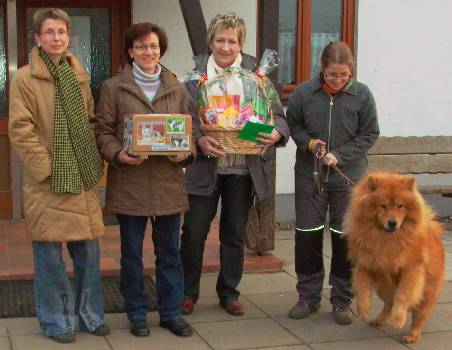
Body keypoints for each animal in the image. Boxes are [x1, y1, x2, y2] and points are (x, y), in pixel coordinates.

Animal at [346, 172, 444, 342]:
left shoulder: (411, 269)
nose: (392, 222)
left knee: (418, 316)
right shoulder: (366, 264)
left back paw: (412, 335)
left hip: (426, 293)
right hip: (384, 288)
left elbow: (402, 295)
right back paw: (378, 320)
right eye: (383, 205)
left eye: (400, 205)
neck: (387, 240)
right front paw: (362, 310)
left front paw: (398, 319)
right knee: (388, 303)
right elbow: (363, 288)